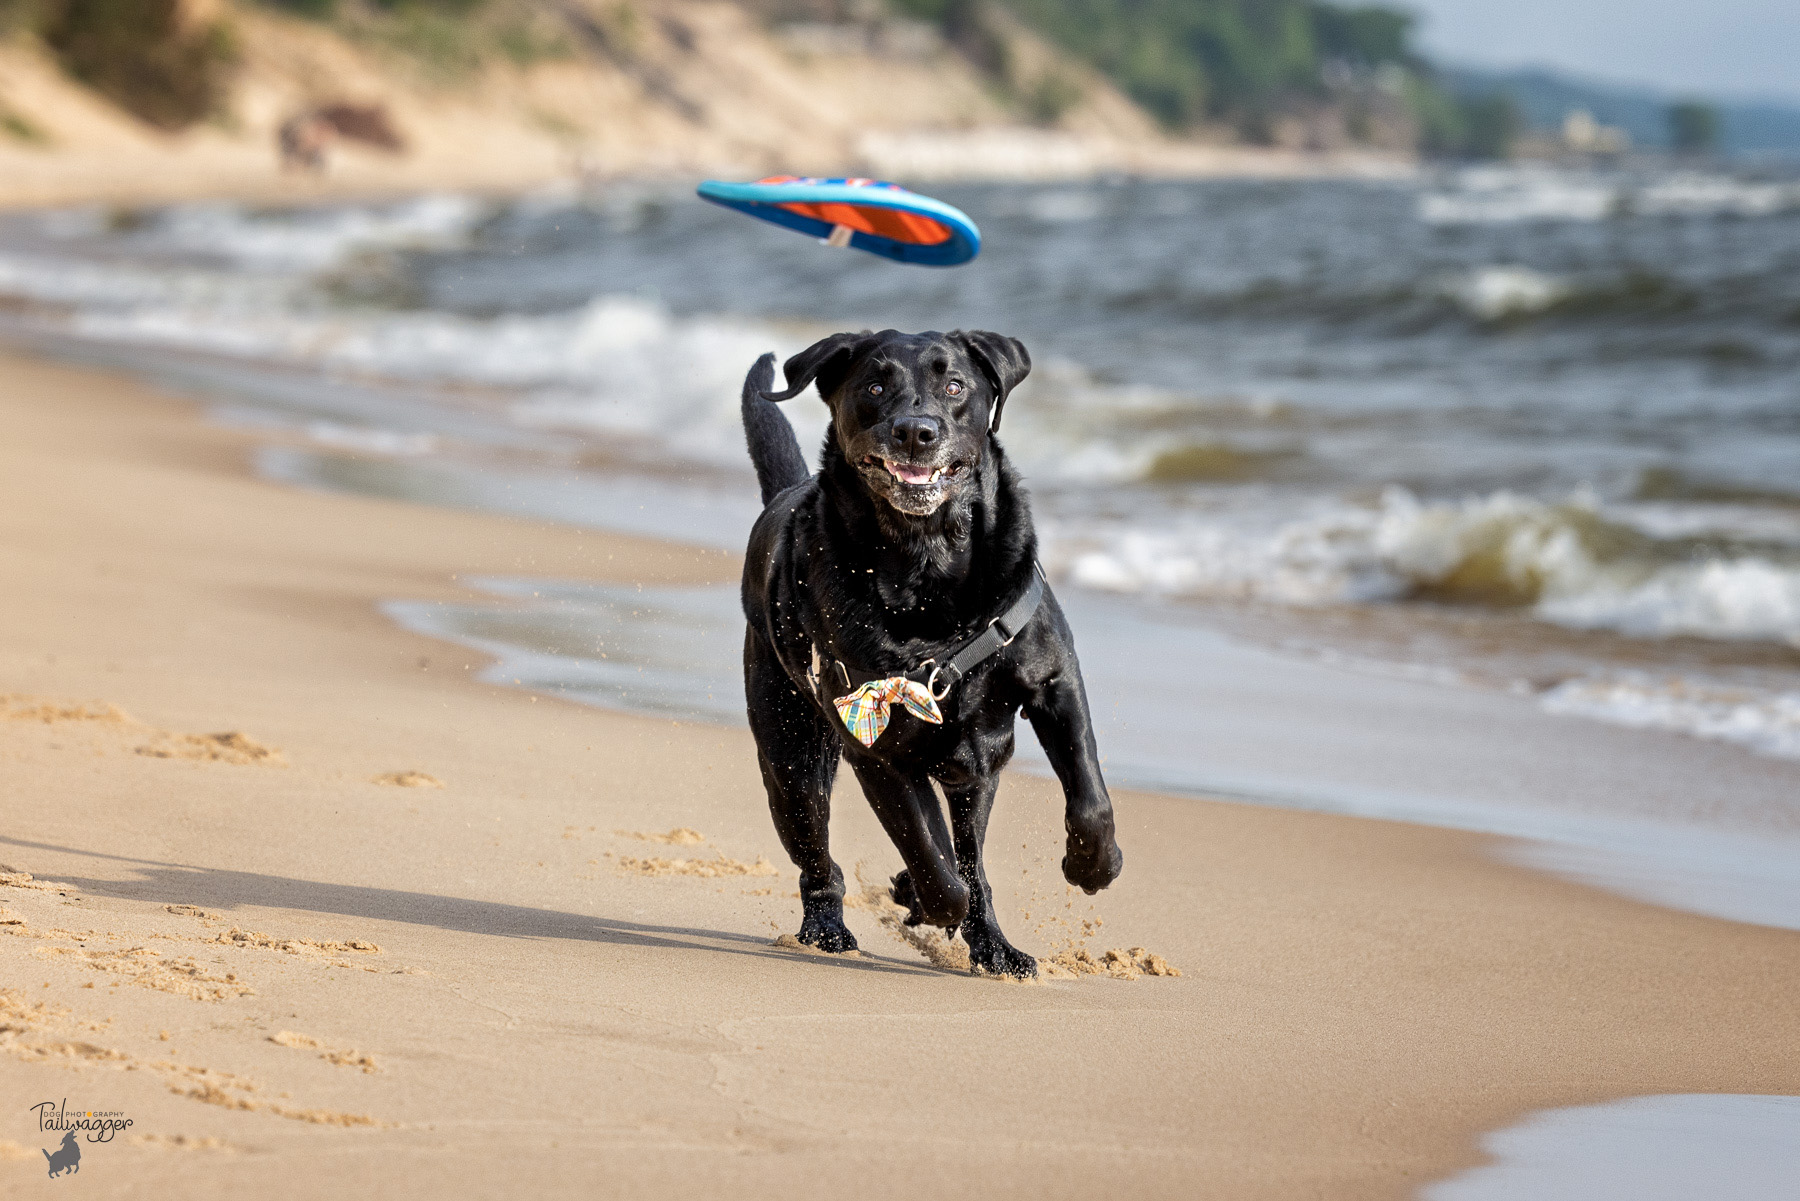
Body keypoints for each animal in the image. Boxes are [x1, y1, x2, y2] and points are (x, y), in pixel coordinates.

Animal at [738, 325, 1116, 979]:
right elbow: (931, 859)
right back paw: (829, 927)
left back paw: (996, 950)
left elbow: (1088, 793)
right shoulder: (875, 745)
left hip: (976, 771)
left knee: (969, 847)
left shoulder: (1053, 678)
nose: (916, 431)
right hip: (790, 757)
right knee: (822, 858)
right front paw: (923, 894)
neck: (928, 561)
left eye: (956, 385)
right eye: (873, 386)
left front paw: (1094, 865)